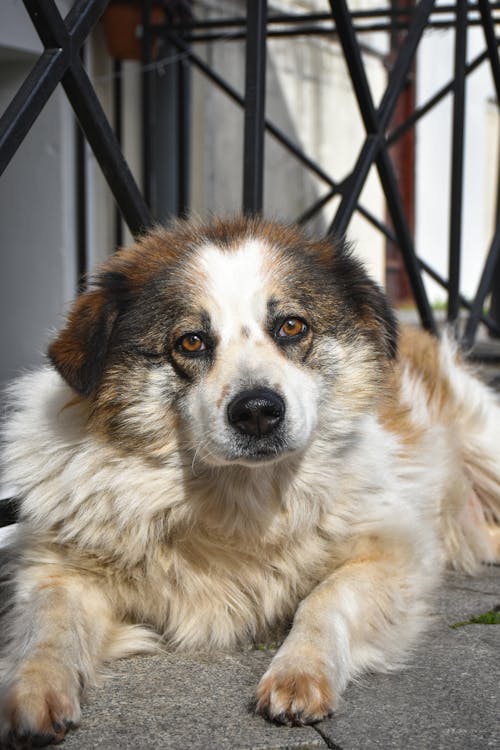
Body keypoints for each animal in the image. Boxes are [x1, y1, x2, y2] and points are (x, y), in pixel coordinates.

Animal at [0, 216, 500, 748]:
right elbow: (48, 622)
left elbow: (326, 599)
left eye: (292, 326)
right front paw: (31, 691)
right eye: (191, 341)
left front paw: (299, 671)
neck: (240, 495)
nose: (258, 411)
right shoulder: (57, 566)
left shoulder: (392, 549)